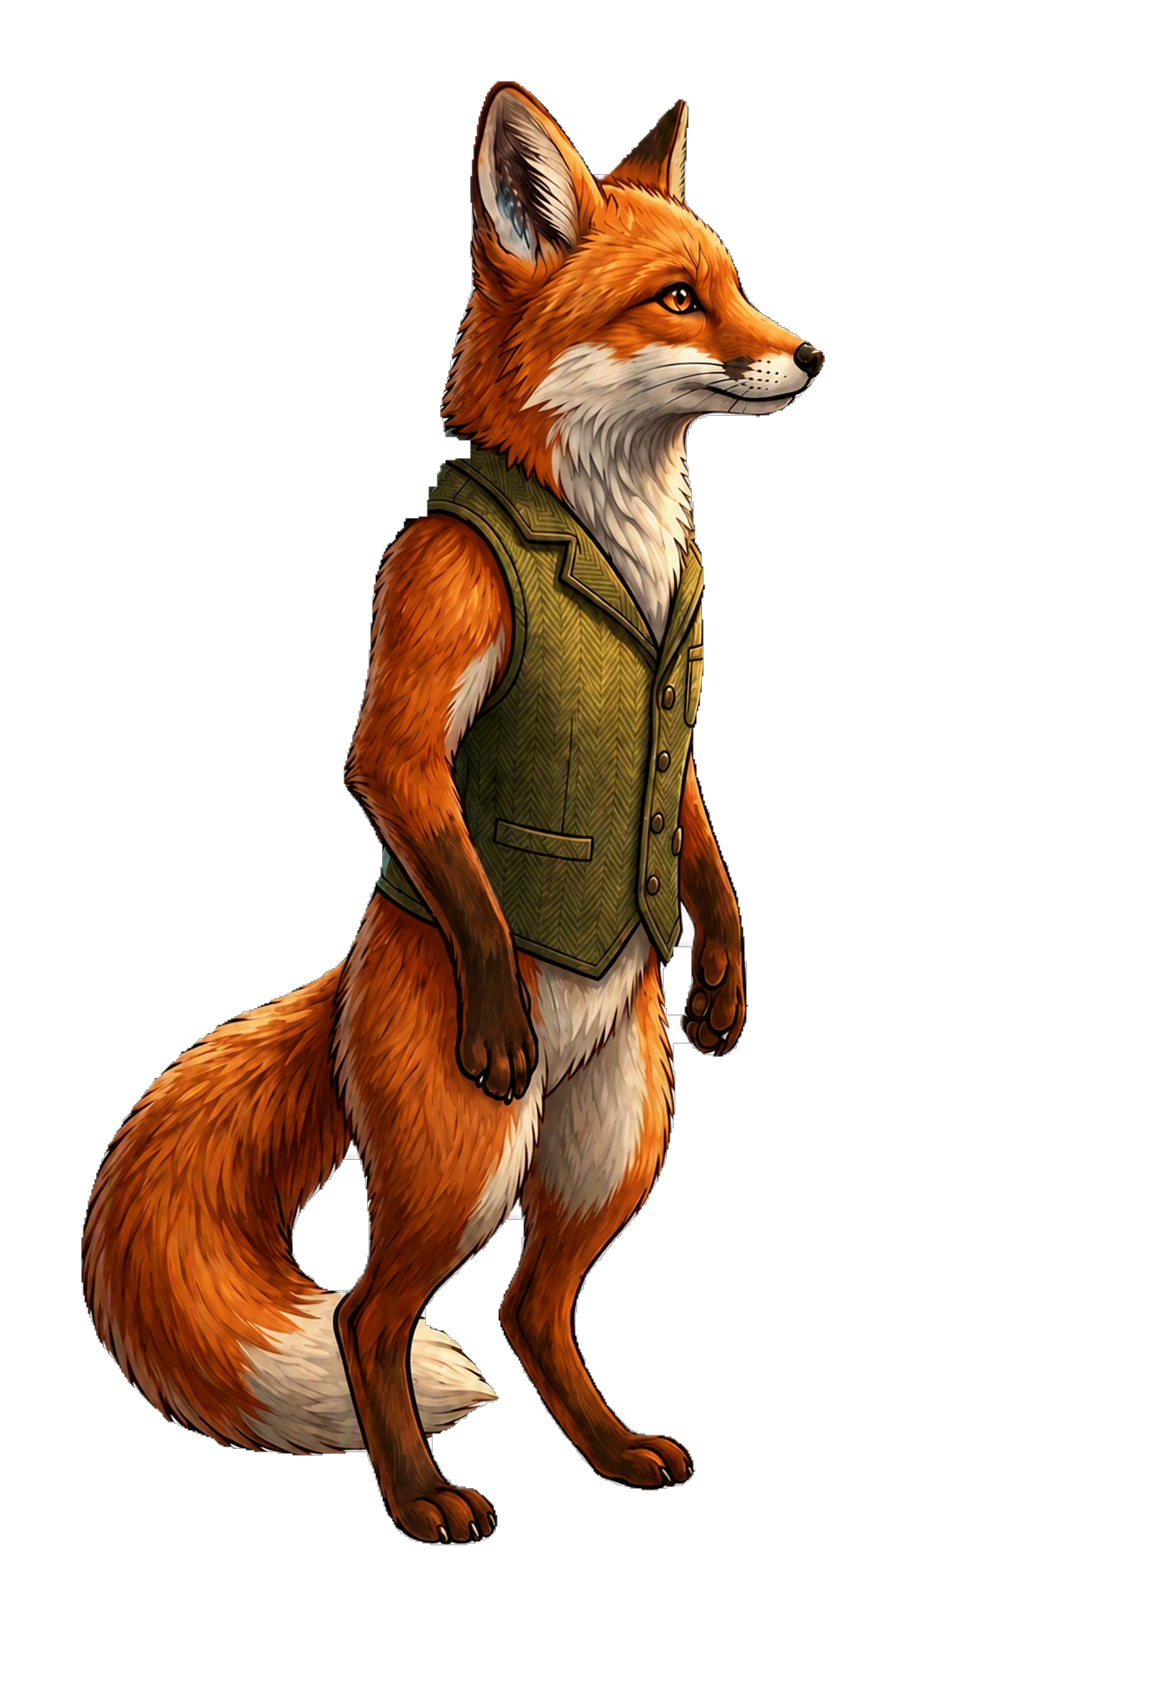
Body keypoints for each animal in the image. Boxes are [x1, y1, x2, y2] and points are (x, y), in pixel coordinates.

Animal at [82, 82, 822, 1544]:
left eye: (738, 285)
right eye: (677, 299)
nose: (813, 357)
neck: (618, 545)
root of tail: (355, 972)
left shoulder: (684, 746)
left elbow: (695, 832)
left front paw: (726, 974)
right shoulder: (427, 632)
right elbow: (400, 771)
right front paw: (496, 1002)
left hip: (615, 1145)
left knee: (534, 1307)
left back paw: (611, 1450)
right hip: (469, 1156)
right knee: (370, 1317)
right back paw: (423, 1495)